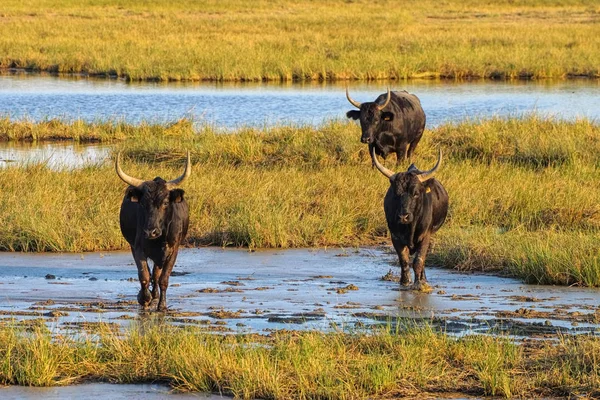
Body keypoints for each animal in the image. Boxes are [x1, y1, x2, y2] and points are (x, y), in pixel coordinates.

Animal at [116, 152, 191, 310]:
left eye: (165, 203)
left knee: (156, 274)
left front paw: (161, 304)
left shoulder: (172, 250)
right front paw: (144, 298)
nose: (151, 232)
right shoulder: (137, 248)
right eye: (143, 203)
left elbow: (163, 278)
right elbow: (144, 275)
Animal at [370, 147, 450, 290]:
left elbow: (418, 261)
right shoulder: (395, 237)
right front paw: (405, 282)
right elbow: (404, 260)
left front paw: (419, 283)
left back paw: (423, 279)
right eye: (396, 193)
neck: (410, 227)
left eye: (416, 193)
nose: (403, 216)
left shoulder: (425, 236)